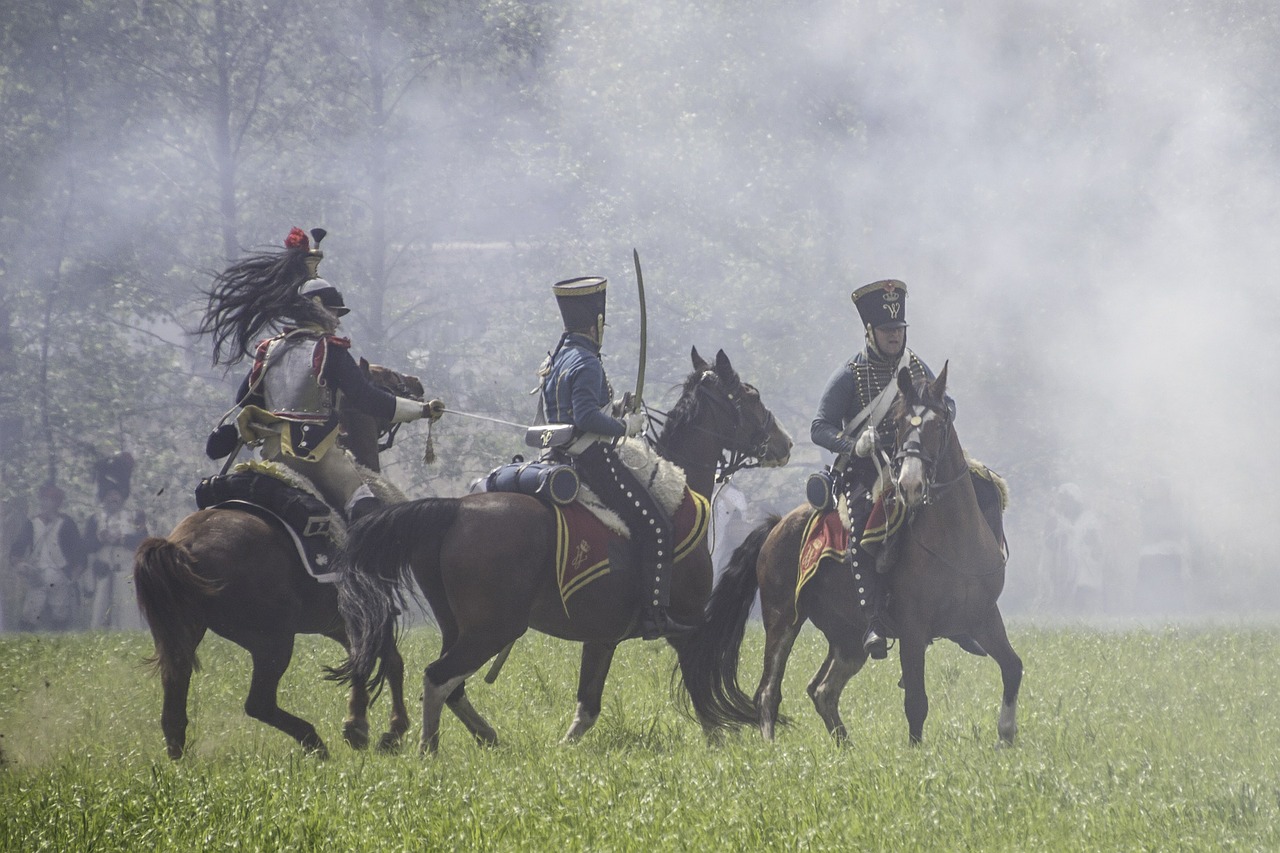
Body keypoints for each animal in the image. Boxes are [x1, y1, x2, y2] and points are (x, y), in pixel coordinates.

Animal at [131, 361, 419, 753]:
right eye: (382, 376)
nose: (417, 386)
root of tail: (182, 547)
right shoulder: (372, 610)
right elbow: (389, 661)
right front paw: (384, 729)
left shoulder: (339, 621)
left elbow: (367, 659)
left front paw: (360, 724)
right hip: (273, 642)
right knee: (258, 704)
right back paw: (314, 742)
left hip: (186, 635)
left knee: (174, 707)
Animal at [335, 345, 788, 753]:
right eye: (750, 396)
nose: (783, 443)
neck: (676, 494)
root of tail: (453, 510)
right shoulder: (686, 625)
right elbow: (700, 689)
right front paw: (721, 745)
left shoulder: (602, 638)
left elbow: (587, 707)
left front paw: (563, 750)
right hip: (492, 630)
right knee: (437, 678)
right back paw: (428, 749)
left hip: (458, 627)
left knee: (453, 686)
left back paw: (485, 736)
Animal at [686, 366, 1024, 742]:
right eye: (899, 423)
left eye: (939, 424)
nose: (909, 485)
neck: (953, 539)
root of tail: (776, 526)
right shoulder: (913, 628)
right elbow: (916, 702)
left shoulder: (984, 616)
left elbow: (1013, 668)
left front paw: (1005, 737)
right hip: (783, 619)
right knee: (768, 692)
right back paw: (772, 747)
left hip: (847, 638)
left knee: (822, 691)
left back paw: (845, 746)